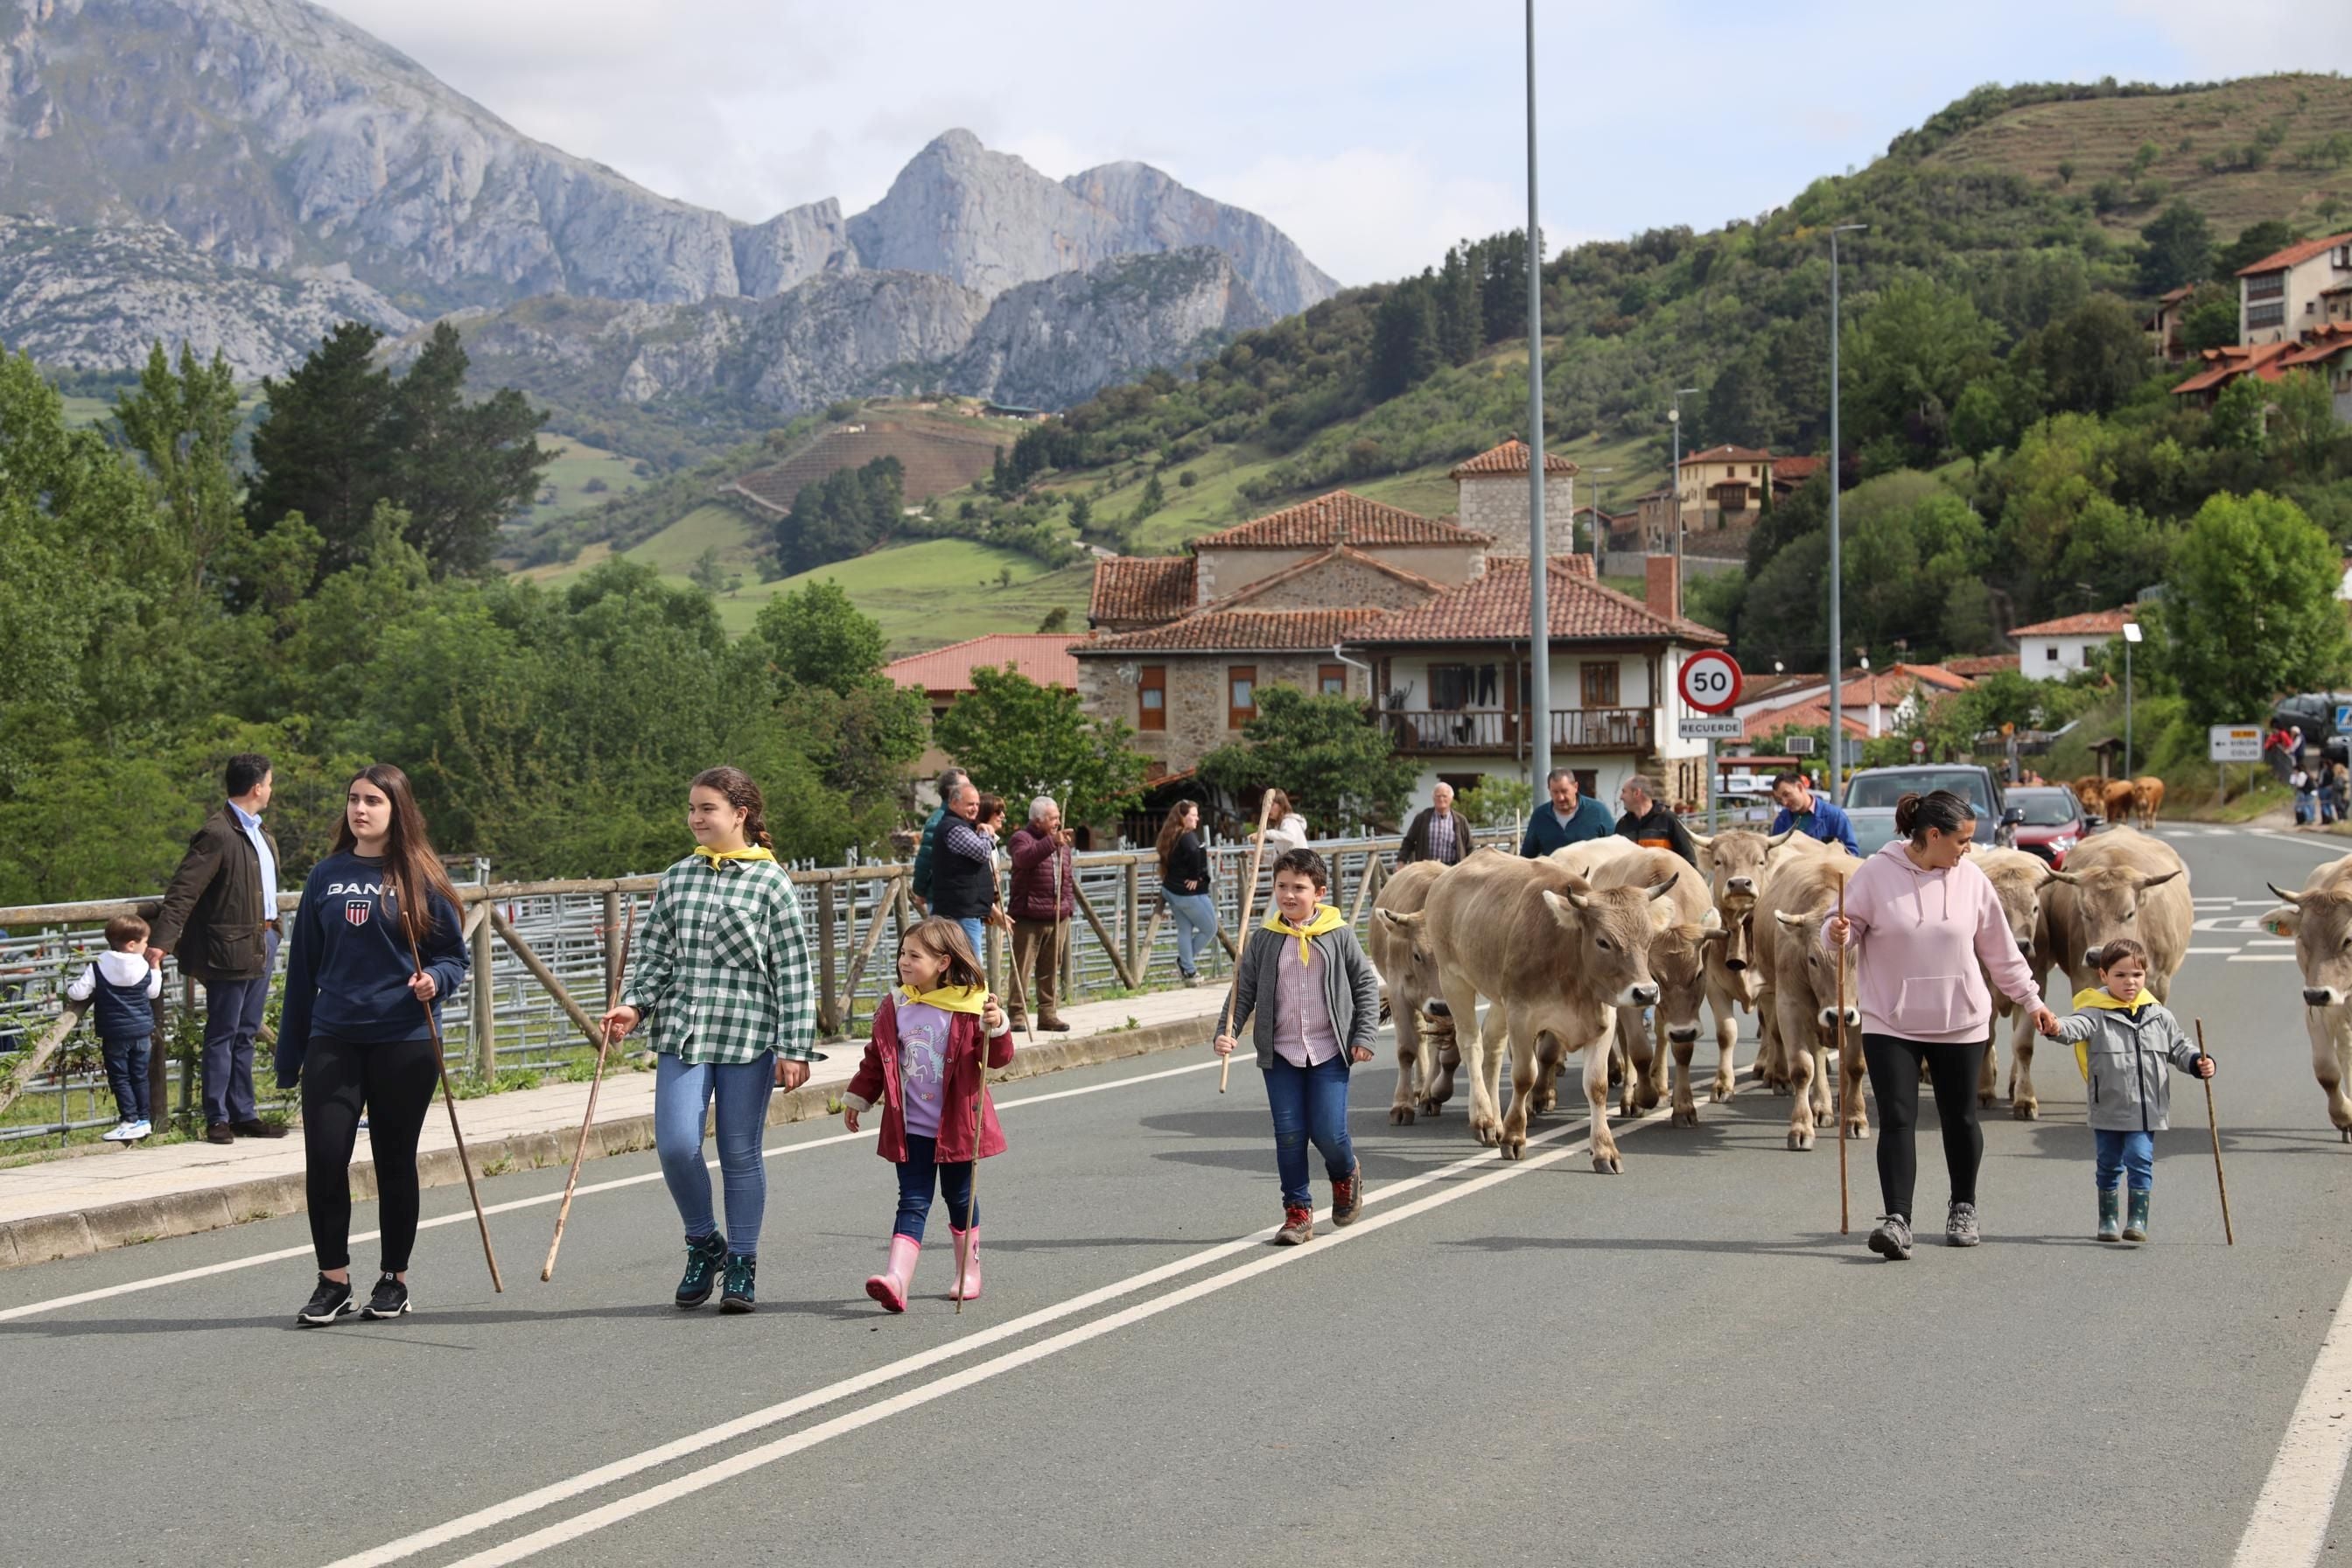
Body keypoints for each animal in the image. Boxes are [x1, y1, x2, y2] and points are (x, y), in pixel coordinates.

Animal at [1373, 860, 1458, 1128]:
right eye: (1417, 955)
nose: (1441, 1006)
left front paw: (1434, 1094)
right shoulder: (1398, 993)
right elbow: (1407, 1050)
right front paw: (1402, 1105)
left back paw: (1427, 1092)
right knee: (1421, 1039)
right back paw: (1419, 1089)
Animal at [1382, 850, 1684, 1170]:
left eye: (1649, 938)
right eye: (1603, 941)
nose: (1646, 992)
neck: (1569, 957)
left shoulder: (1603, 1021)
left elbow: (1597, 1085)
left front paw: (1605, 1150)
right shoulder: (1521, 1016)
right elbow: (1525, 1075)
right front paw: (1515, 1137)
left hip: (1497, 997)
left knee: (1491, 1046)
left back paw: (1495, 1121)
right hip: (1454, 981)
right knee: (1470, 1044)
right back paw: (1483, 1119)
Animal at [1759, 846, 1862, 1152]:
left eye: (1856, 957)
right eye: (1813, 959)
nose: (1839, 1015)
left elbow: (1856, 1066)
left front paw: (1856, 1119)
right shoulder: (1790, 1006)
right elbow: (1803, 1069)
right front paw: (1801, 1127)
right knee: (1817, 1055)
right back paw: (1821, 1107)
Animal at [2248, 860, 2352, 1142]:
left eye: (2348, 939)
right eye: (2303, 937)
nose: (2317, 994)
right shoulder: (2317, 1011)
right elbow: (2327, 1072)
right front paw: (2344, 1116)